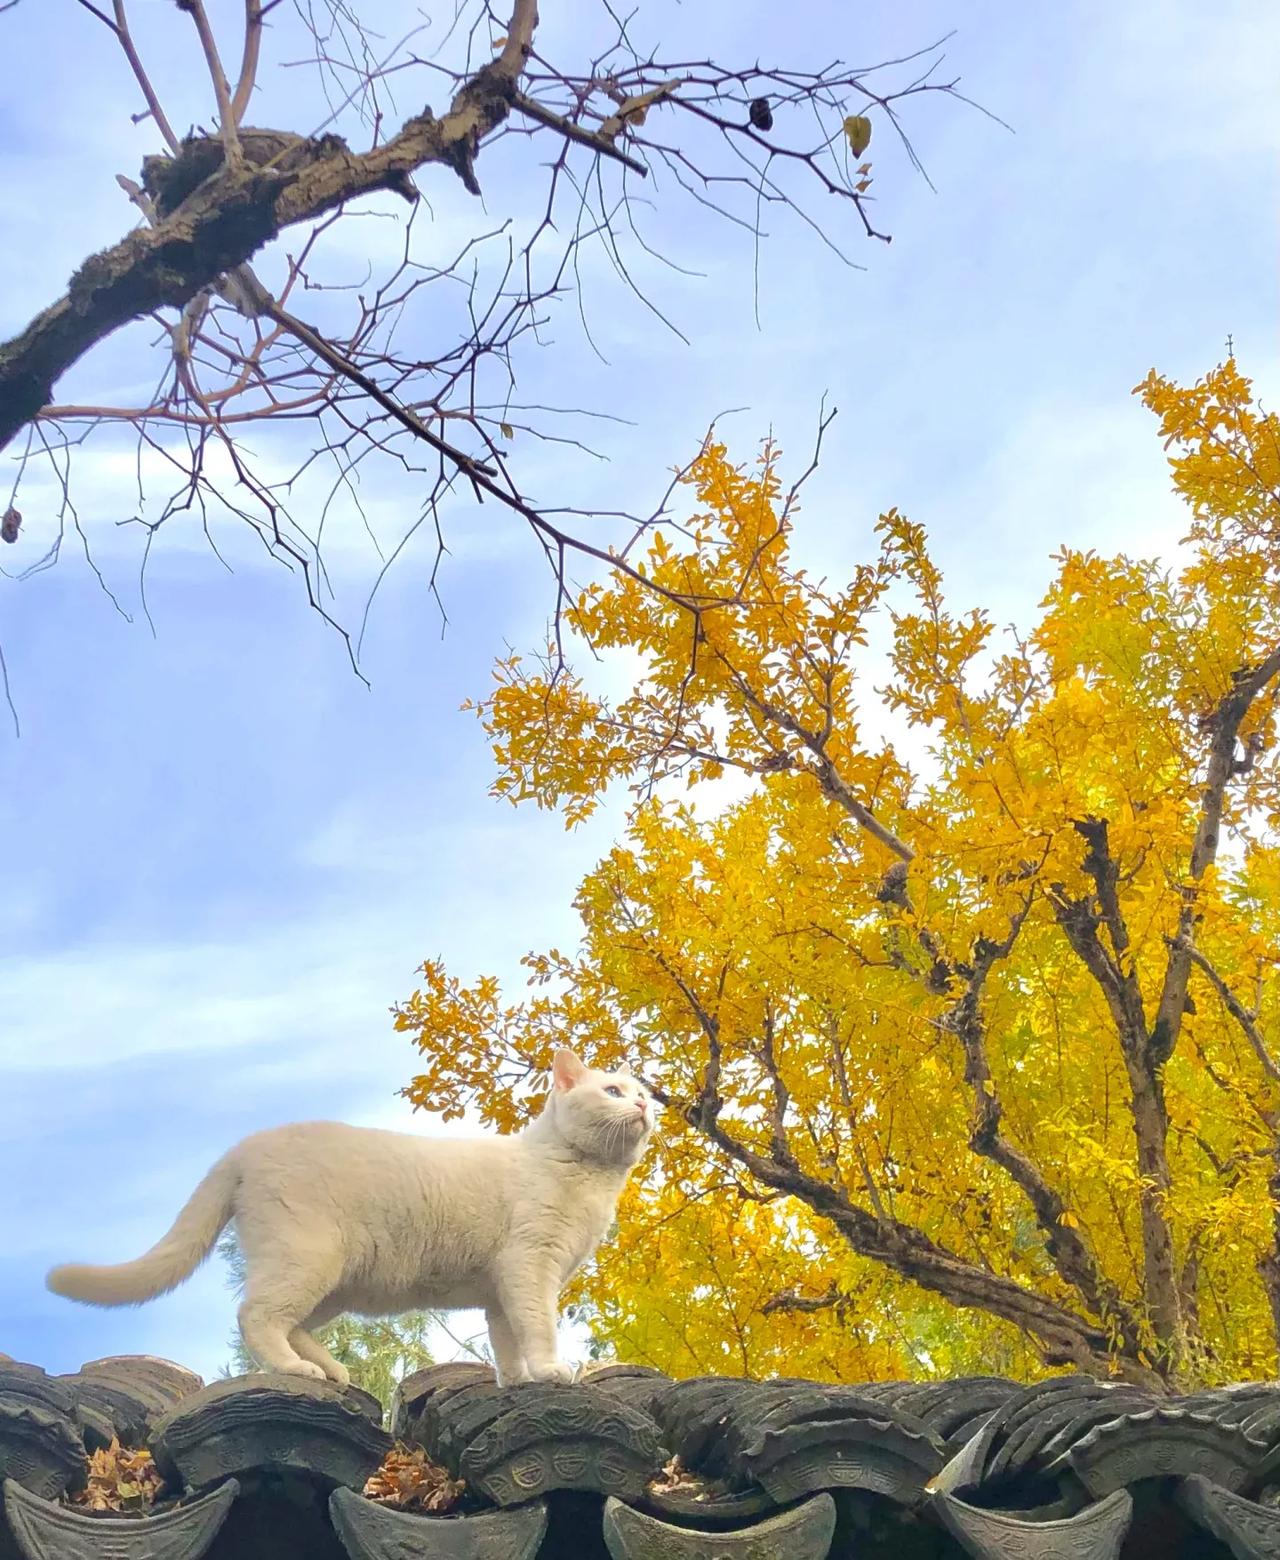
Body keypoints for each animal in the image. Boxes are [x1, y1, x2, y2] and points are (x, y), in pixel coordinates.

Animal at [46, 1054, 654, 1385]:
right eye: (613, 1091)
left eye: (643, 1092)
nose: (647, 1106)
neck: (589, 1179)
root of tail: (244, 1147)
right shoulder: (530, 1269)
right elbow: (539, 1328)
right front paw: (550, 1371)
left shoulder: (501, 1291)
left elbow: (508, 1344)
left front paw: (520, 1382)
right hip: (307, 1261)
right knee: (255, 1317)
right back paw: (296, 1371)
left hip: (333, 1285)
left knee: (288, 1324)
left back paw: (333, 1371)